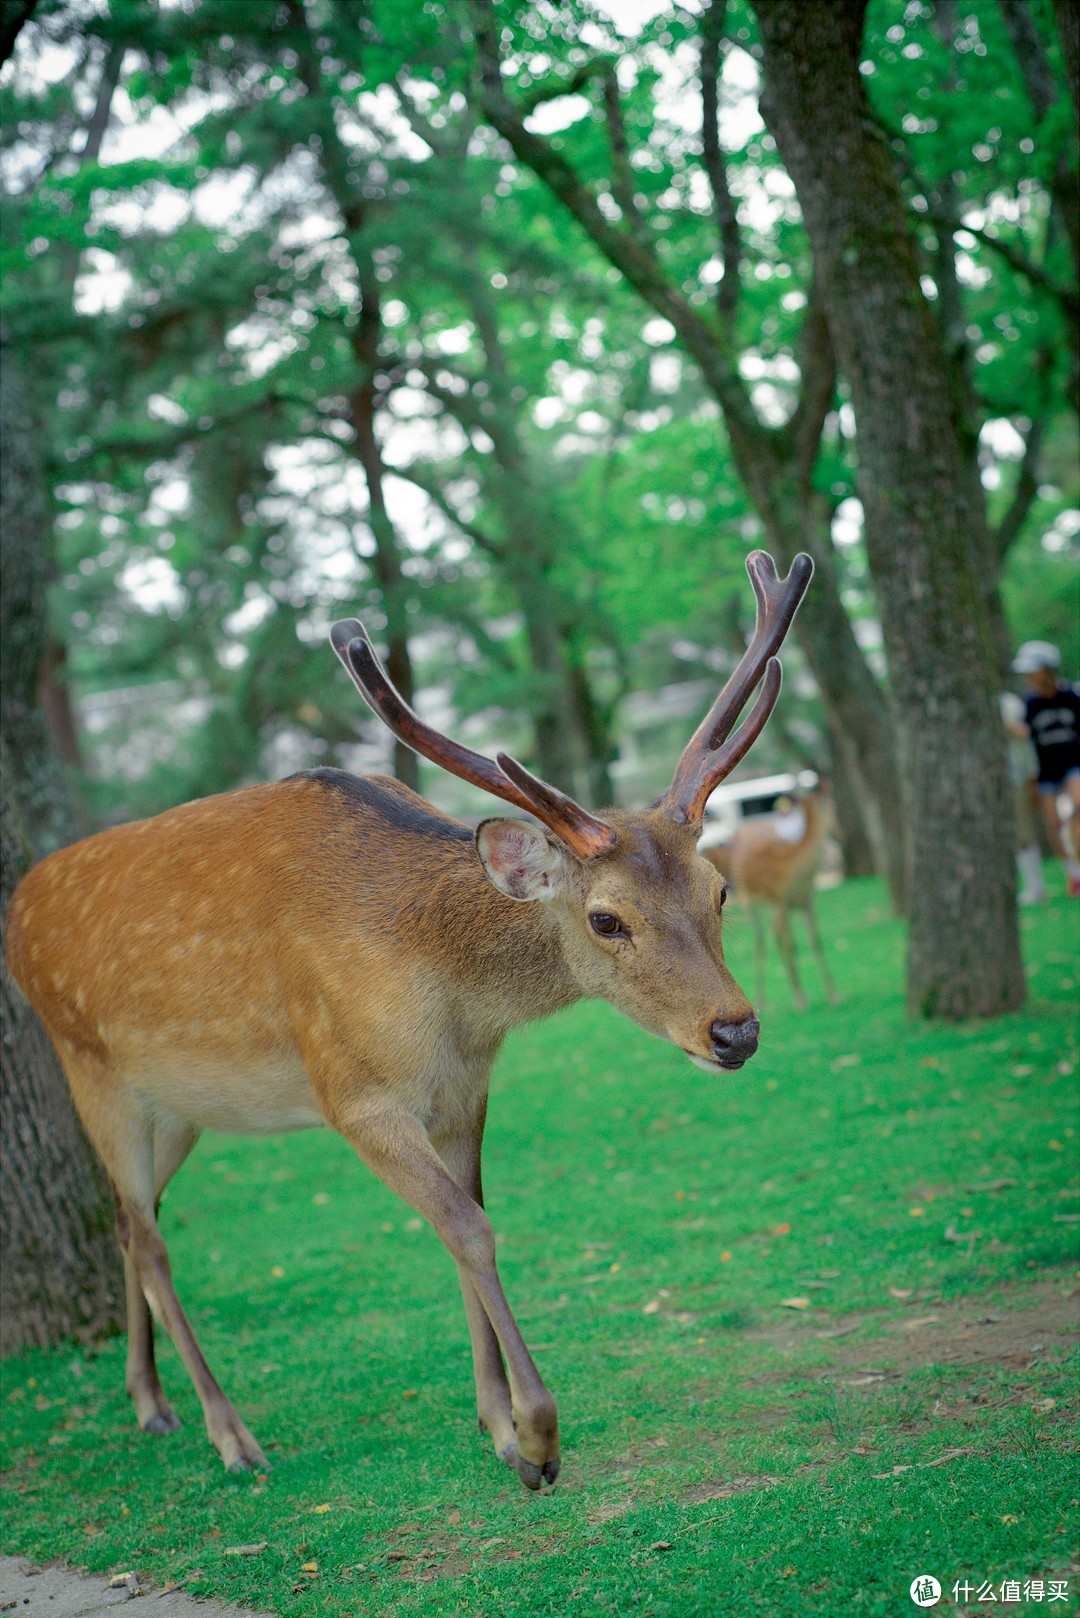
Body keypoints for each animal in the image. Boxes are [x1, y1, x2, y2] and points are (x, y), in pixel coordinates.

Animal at [6, 550, 809, 1482]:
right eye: (607, 918)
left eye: (719, 890)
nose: (736, 1030)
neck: (447, 1001)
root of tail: (16, 911)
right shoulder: (352, 1093)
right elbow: (468, 1227)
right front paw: (539, 1439)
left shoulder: (465, 1092)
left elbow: (468, 1223)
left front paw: (498, 1426)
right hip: (92, 1072)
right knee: (150, 1239)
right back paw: (230, 1435)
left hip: (175, 1111)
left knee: (129, 1227)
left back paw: (150, 1402)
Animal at [709, 783, 841, 1009]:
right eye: (829, 804)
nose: (839, 830)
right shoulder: (780, 899)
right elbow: (791, 945)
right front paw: (800, 998)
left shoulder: (808, 900)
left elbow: (815, 941)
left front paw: (833, 994)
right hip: (750, 898)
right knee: (761, 941)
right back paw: (761, 998)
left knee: (774, 934)